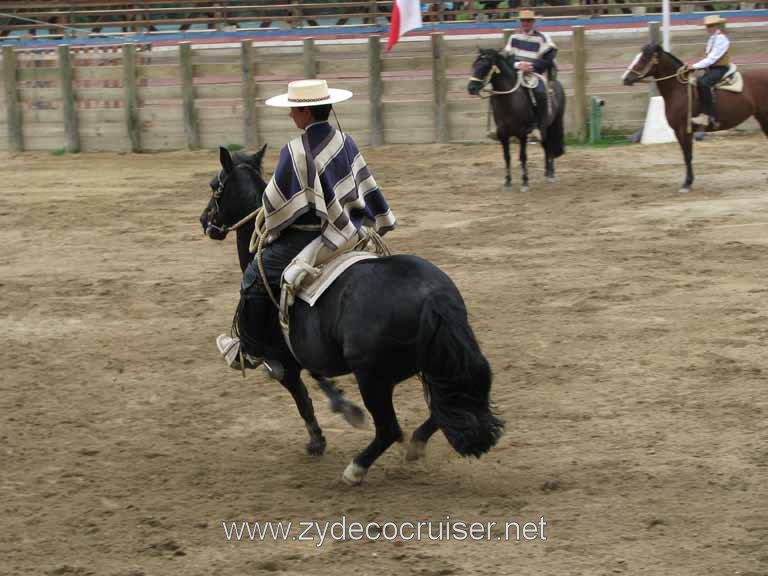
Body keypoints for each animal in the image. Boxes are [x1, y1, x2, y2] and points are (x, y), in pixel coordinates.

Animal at [198, 146, 504, 484]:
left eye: (214, 186)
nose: (204, 220)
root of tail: (433, 298)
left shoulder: (283, 360)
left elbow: (301, 397)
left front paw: (318, 439)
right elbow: (317, 379)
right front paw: (342, 406)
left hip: (373, 379)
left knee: (389, 429)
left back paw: (355, 469)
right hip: (438, 367)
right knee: (444, 406)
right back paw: (414, 446)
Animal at [464, 47, 568, 191]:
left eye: (485, 66)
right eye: (474, 65)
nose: (471, 88)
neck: (510, 101)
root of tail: (556, 84)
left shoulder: (522, 134)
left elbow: (522, 157)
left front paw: (525, 182)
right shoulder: (503, 135)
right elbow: (507, 157)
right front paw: (507, 182)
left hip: (553, 124)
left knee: (550, 146)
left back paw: (551, 174)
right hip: (544, 128)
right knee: (546, 146)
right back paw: (547, 172)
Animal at [624, 44, 768, 194]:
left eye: (644, 58)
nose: (626, 79)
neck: (679, 91)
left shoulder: (684, 130)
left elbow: (688, 155)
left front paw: (687, 184)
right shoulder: (678, 131)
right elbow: (685, 155)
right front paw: (688, 182)